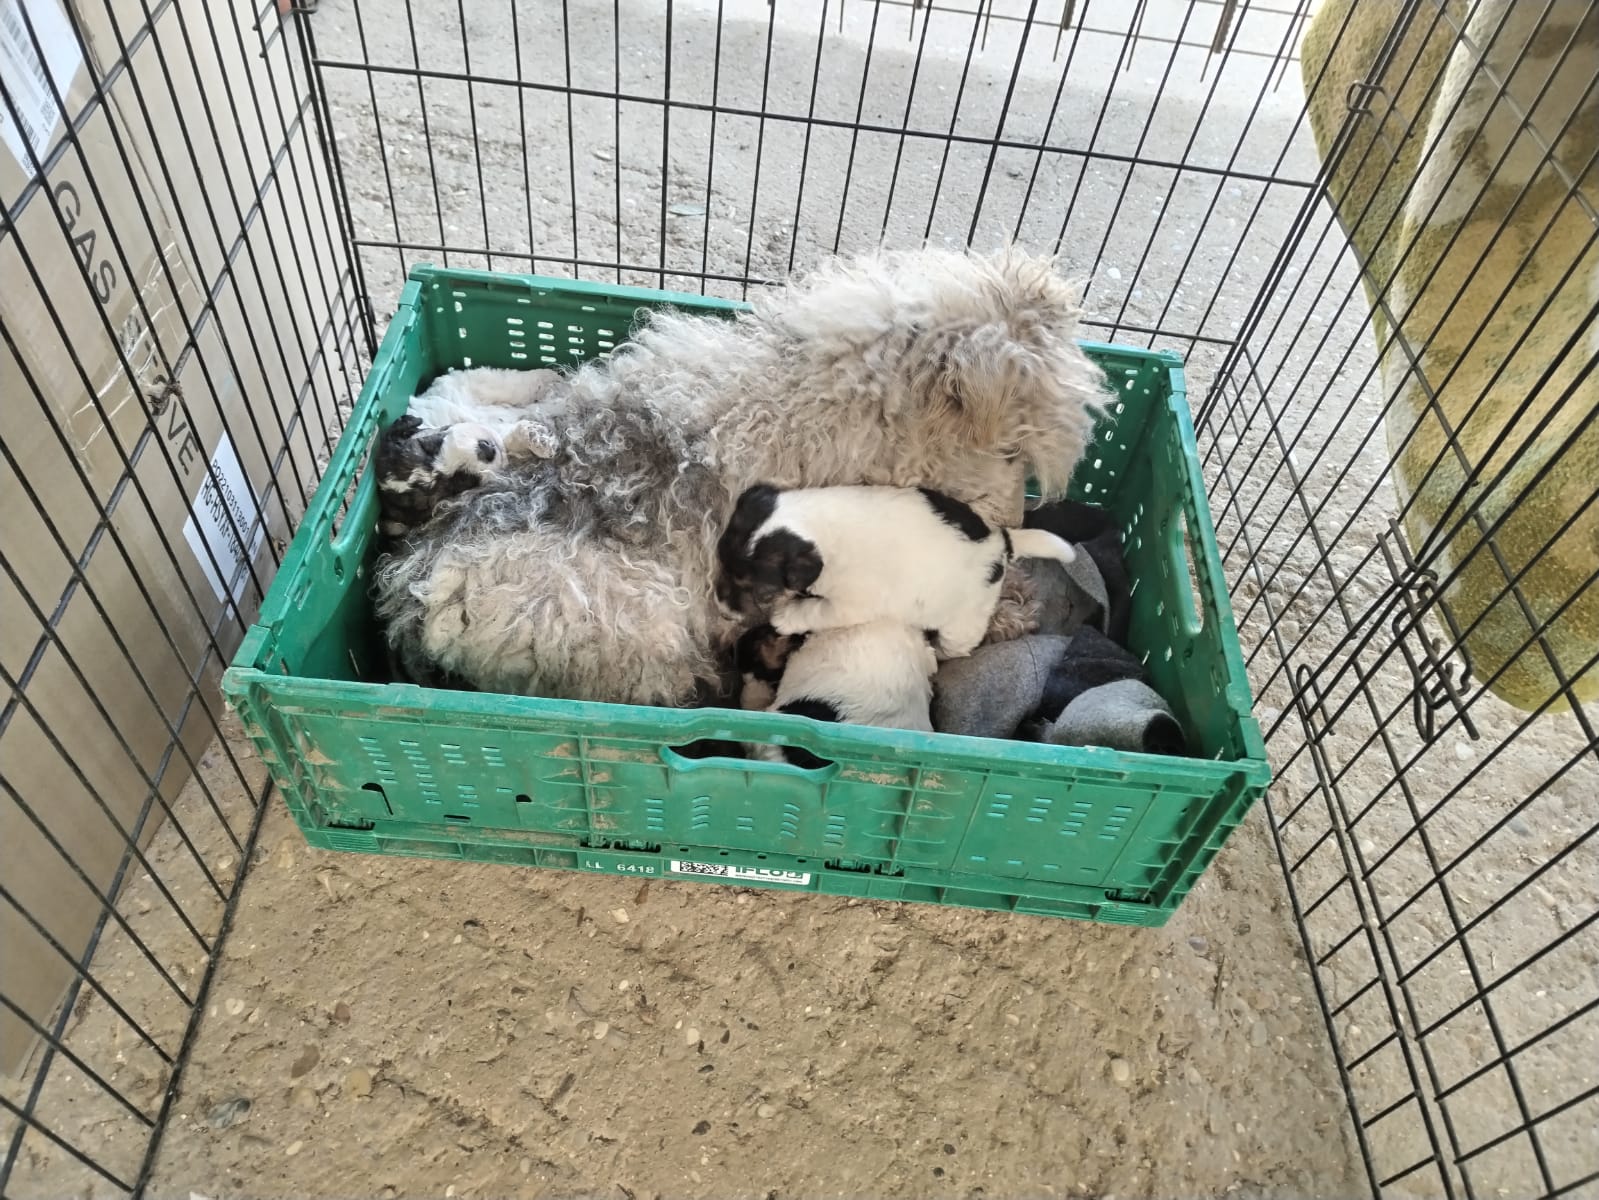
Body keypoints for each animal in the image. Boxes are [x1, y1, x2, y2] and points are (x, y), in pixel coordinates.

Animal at [719, 483, 1080, 662]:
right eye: (721, 565)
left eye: (760, 591)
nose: (722, 611)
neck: (817, 524)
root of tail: (1001, 542)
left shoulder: (850, 604)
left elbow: (816, 610)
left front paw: (786, 617)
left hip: (962, 624)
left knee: (956, 646)